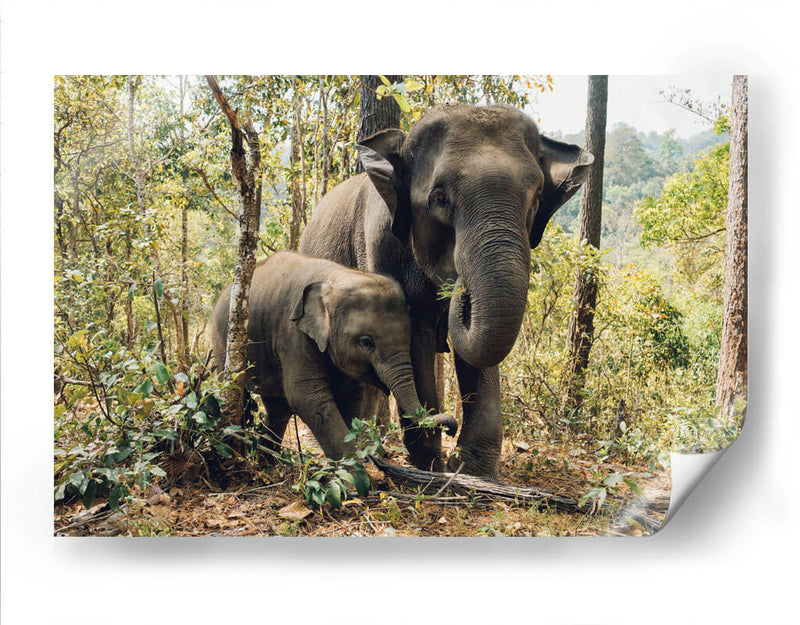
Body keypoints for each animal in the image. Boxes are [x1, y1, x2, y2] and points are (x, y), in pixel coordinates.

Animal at [210, 251, 457, 464]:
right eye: (366, 342)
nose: (451, 429)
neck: (335, 277)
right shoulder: (293, 333)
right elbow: (307, 396)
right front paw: (356, 477)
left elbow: (352, 396)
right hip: (224, 341)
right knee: (237, 393)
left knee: (278, 408)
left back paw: (268, 462)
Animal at [300, 104, 593, 479]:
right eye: (439, 198)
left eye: (536, 199)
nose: (459, 286)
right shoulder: (380, 247)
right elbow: (415, 336)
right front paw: (432, 464)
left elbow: (477, 351)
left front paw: (473, 470)